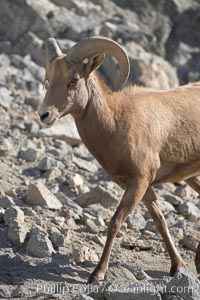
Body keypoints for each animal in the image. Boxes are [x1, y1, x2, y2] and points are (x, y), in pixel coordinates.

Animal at [39, 36, 200, 282]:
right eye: (48, 79)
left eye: (73, 80)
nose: (44, 115)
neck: (116, 122)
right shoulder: (143, 187)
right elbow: (160, 221)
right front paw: (177, 267)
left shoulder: (138, 182)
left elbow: (115, 222)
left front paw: (97, 274)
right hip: (193, 178)